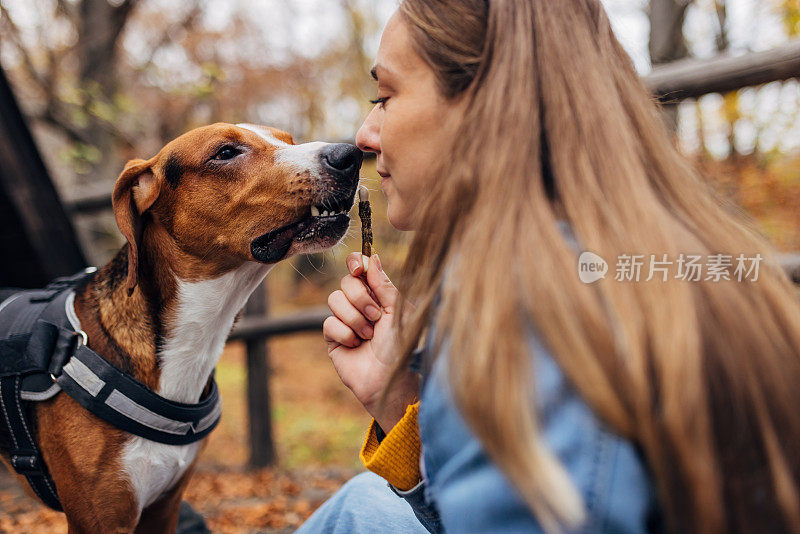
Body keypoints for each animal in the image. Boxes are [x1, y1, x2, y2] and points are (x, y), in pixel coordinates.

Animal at [0, 123, 362, 532]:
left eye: (289, 140)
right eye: (225, 152)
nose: (349, 155)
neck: (192, 343)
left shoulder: (164, 509)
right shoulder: (100, 520)